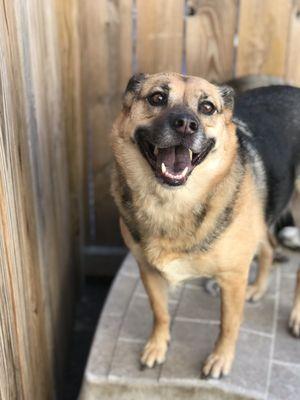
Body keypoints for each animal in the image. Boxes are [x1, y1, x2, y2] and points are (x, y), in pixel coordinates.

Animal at [110, 72, 300, 378]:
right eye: (157, 98)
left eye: (207, 107)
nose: (186, 125)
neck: (172, 203)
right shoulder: (148, 271)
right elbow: (160, 312)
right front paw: (157, 346)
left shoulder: (233, 278)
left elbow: (228, 324)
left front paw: (221, 359)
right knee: (269, 248)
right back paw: (257, 289)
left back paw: (295, 316)